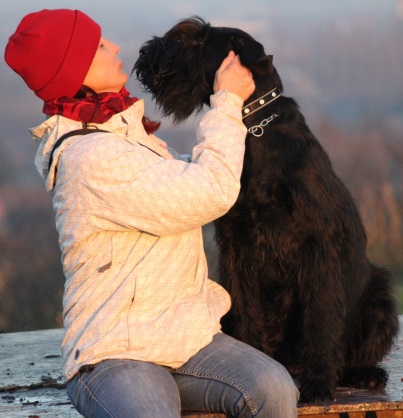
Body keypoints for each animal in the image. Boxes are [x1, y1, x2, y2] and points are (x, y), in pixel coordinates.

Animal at [133, 16, 400, 402]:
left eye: (196, 40)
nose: (145, 53)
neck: (252, 130)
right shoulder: (238, 247)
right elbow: (247, 309)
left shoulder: (318, 249)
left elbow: (320, 318)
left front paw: (320, 384)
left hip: (380, 300)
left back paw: (365, 374)